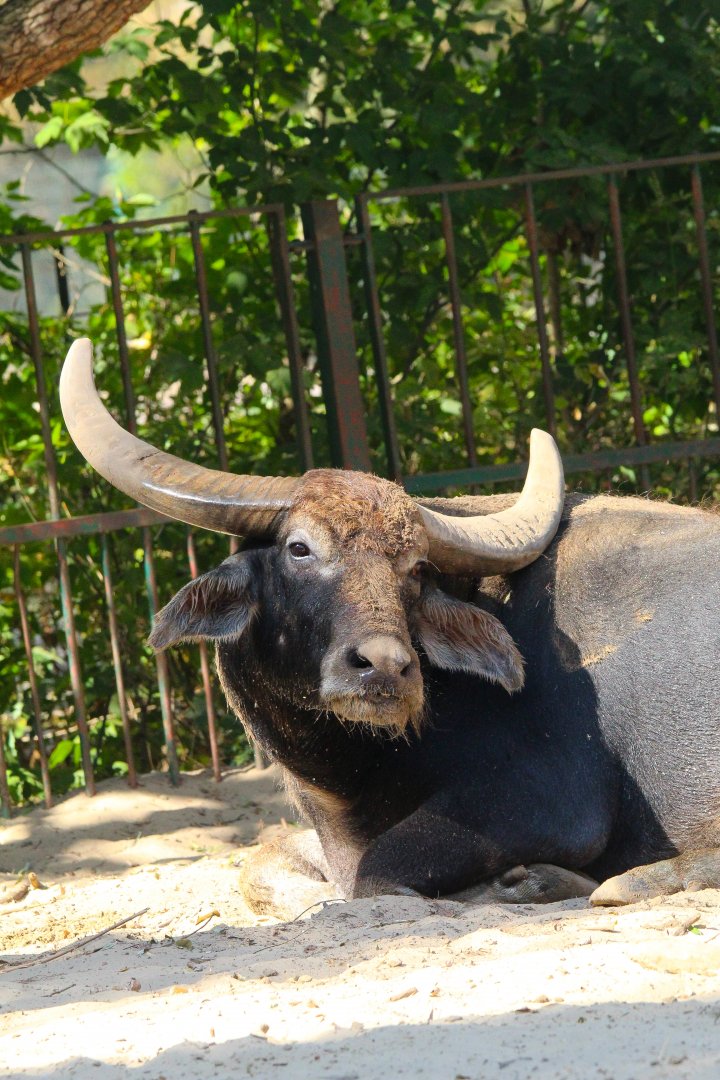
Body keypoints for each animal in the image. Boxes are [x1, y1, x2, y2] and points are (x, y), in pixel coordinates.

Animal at [60, 338, 720, 916]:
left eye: (416, 570)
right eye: (299, 548)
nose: (384, 666)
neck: (350, 778)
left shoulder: (549, 796)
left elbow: (376, 873)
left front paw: (531, 882)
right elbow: (264, 860)